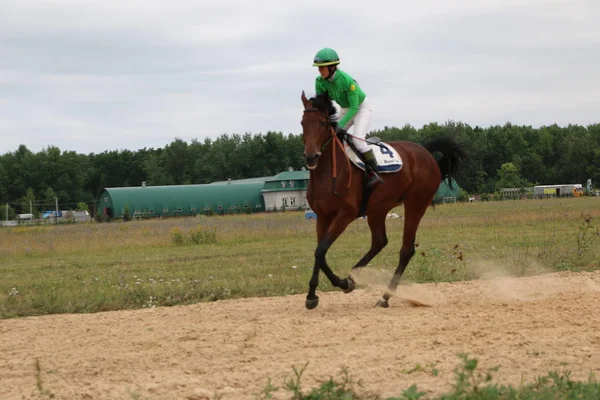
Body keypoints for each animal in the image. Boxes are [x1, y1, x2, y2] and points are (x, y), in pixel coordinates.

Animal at [302, 90, 466, 310]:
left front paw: (340, 283)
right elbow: (320, 252)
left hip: (415, 204)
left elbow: (320, 251)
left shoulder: (344, 215)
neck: (329, 173)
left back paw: (384, 296)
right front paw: (313, 294)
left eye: (322, 123)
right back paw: (354, 277)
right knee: (379, 241)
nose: (311, 156)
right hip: (378, 209)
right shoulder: (322, 216)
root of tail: (425, 152)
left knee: (406, 250)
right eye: (302, 123)